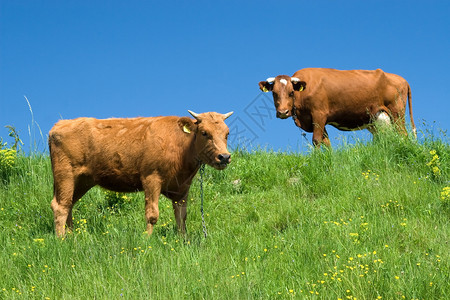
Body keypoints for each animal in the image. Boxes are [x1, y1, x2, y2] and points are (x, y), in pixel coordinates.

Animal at [48, 110, 232, 237]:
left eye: (227, 133)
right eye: (204, 132)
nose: (224, 156)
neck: (180, 146)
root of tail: (59, 125)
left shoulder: (182, 187)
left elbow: (181, 216)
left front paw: (183, 241)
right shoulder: (151, 178)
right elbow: (152, 214)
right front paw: (147, 240)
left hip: (82, 180)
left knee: (69, 203)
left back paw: (71, 236)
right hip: (65, 174)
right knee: (60, 206)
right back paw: (62, 240)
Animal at [258, 68, 416, 148]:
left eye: (291, 92)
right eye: (274, 93)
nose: (283, 112)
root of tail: (401, 79)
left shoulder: (319, 114)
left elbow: (316, 140)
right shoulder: (317, 121)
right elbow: (326, 141)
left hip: (397, 113)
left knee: (403, 134)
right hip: (377, 120)